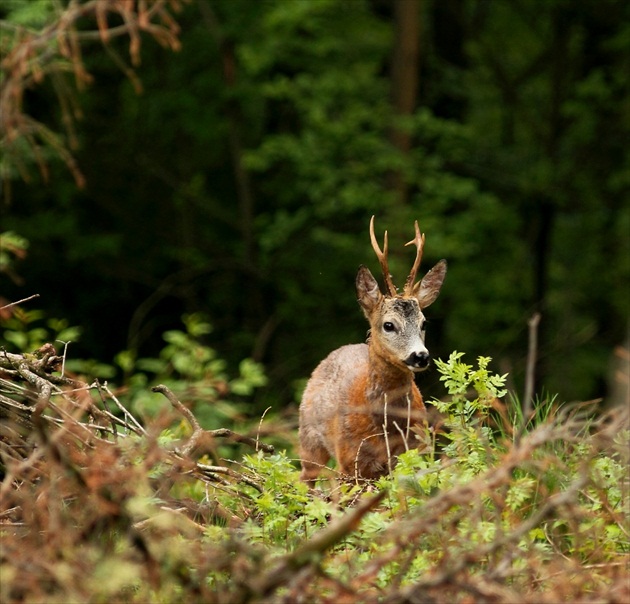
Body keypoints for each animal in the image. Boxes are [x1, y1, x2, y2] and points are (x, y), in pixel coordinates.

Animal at [298, 216, 446, 482]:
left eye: (424, 323)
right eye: (389, 325)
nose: (420, 356)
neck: (386, 428)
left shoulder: (416, 451)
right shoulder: (349, 462)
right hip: (308, 438)